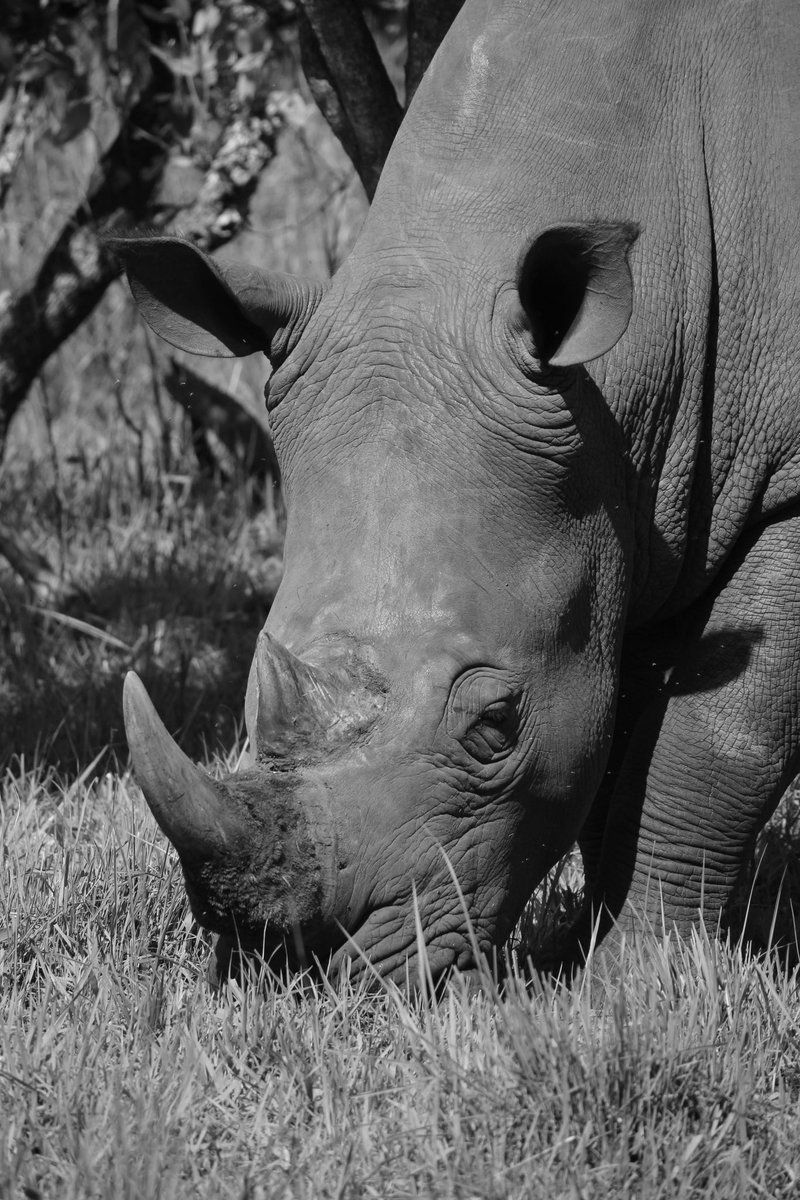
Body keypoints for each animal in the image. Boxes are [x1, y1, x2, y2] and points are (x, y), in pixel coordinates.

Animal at [115, 0, 799, 983]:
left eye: (496, 725)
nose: (298, 972)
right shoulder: (626, 497)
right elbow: (610, 737)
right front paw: (583, 960)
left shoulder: (776, 487)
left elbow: (714, 740)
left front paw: (638, 975)